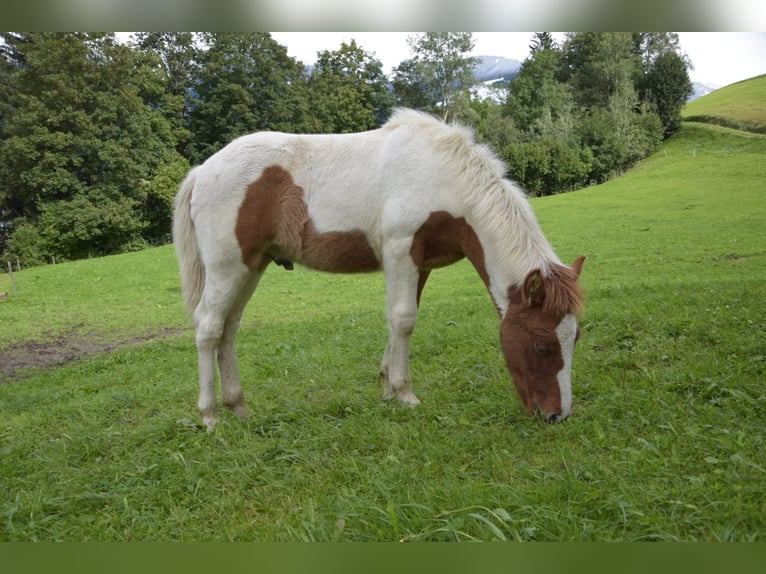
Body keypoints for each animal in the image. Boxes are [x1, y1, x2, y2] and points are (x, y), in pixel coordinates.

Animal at [171, 109, 584, 432]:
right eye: (543, 345)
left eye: (574, 338)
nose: (557, 415)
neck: (442, 177)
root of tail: (202, 171)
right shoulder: (401, 252)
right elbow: (403, 319)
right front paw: (405, 394)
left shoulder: (419, 264)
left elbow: (398, 320)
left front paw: (387, 389)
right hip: (228, 267)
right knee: (209, 328)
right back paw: (209, 416)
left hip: (252, 266)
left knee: (229, 329)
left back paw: (239, 408)